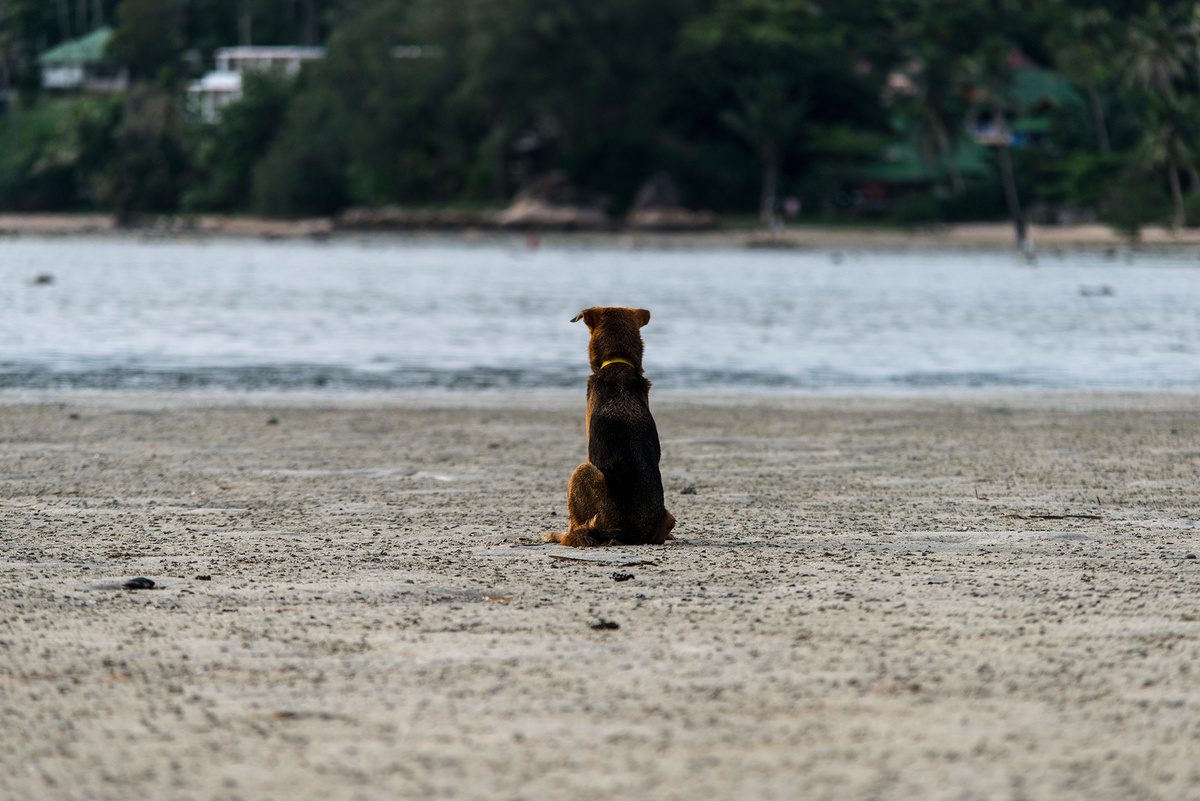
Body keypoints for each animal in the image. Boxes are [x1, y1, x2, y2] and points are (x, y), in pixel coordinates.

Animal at [544, 307, 676, 547]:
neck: (618, 363)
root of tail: (629, 532)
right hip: (668, 516)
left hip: (582, 471)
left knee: (575, 533)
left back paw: (556, 535)